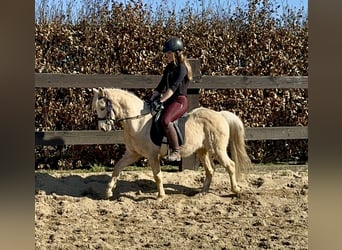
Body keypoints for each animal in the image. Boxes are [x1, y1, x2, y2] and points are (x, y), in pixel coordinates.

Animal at [92, 87, 252, 200]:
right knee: (210, 170)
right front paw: (108, 192)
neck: (138, 122)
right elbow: (117, 168)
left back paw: (236, 190)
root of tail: (220, 114)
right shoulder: (133, 154)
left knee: (230, 165)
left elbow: (157, 175)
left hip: (218, 150)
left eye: (102, 107)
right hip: (202, 150)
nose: (103, 128)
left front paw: (161, 196)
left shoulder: (152, 155)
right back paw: (203, 192)